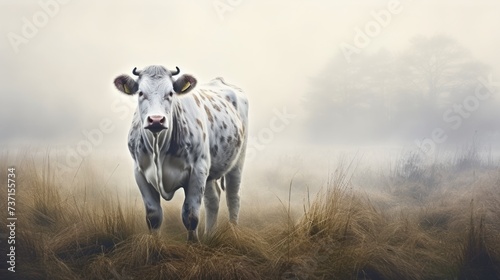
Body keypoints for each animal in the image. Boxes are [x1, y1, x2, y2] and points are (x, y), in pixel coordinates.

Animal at [112, 65, 247, 241]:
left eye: (170, 93)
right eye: (141, 92)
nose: (156, 120)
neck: (159, 148)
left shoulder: (197, 170)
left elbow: (190, 216)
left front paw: (193, 244)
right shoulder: (140, 172)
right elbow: (154, 217)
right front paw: (155, 245)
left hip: (237, 161)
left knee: (233, 197)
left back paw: (233, 233)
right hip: (209, 170)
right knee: (213, 200)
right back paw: (210, 235)